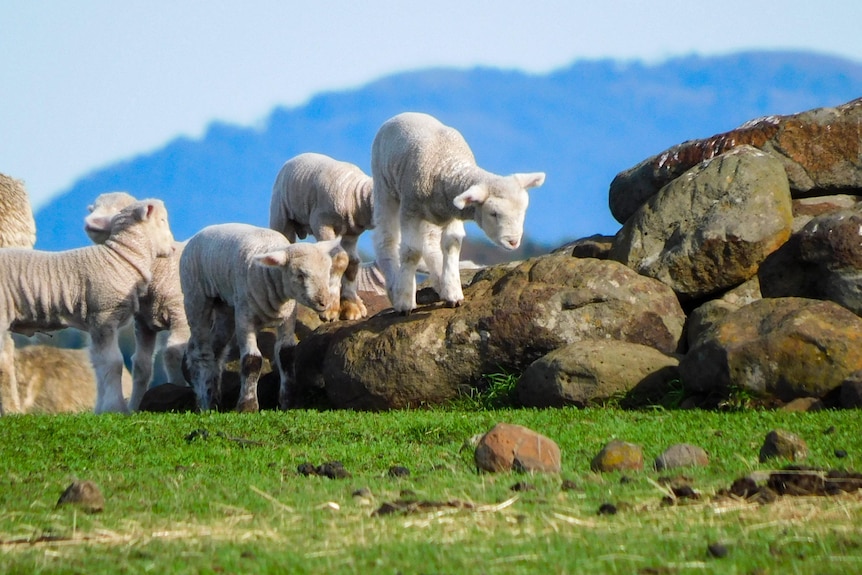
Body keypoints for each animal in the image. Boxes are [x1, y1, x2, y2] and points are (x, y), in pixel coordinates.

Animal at [0, 201, 174, 414]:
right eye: (162, 220)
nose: (173, 248)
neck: (120, 259)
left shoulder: (96, 322)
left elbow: (99, 365)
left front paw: (101, 409)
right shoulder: (103, 315)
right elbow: (113, 362)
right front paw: (115, 408)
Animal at [84, 192, 191, 410]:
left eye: (121, 211)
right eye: (94, 208)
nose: (91, 222)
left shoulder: (180, 316)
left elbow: (172, 354)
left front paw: (177, 389)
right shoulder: (143, 323)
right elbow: (141, 364)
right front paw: (134, 406)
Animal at [181, 223, 346, 412]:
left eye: (328, 272)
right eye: (300, 275)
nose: (324, 302)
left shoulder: (288, 317)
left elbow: (286, 355)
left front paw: (289, 402)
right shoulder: (244, 318)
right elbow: (252, 360)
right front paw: (247, 406)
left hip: (225, 306)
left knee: (217, 350)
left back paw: (213, 398)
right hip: (195, 295)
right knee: (200, 350)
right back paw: (204, 402)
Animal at [270, 152, 374, 324]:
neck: (356, 195)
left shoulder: (351, 233)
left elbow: (352, 263)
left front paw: (351, 307)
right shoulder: (321, 223)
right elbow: (338, 259)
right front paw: (330, 310)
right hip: (281, 213)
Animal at [372, 112, 548, 316]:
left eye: (523, 211)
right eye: (493, 213)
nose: (513, 242)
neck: (446, 164)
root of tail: (406, 113)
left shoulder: (453, 212)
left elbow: (452, 245)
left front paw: (453, 293)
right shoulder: (411, 209)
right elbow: (411, 252)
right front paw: (405, 302)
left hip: (431, 217)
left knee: (430, 244)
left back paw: (440, 282)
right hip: (384, 186)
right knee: (386, 239)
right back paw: (394, 289)